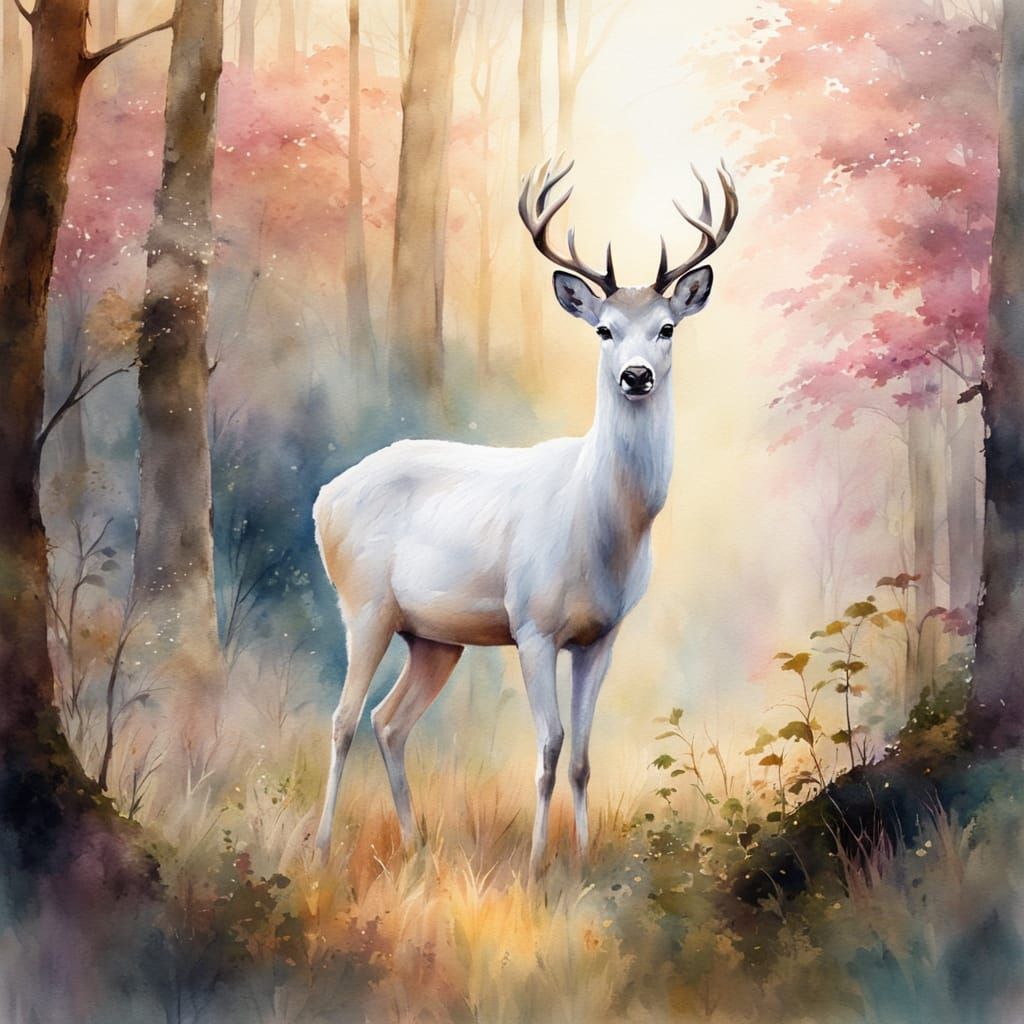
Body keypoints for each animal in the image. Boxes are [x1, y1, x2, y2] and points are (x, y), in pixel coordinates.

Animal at [314, 157, 738, 876]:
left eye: (667, 327)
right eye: (603, 329)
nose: (635, 376)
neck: (602, 530)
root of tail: (322, 498)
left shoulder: (603, 634)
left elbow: (585, 755)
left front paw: (585, 857)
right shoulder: (532, 624)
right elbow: (549, 746)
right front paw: (539, 864)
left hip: (435, 637)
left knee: (389, 721)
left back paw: (415, 844)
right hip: (365, 603)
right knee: (344, 719)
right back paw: (318, 846)